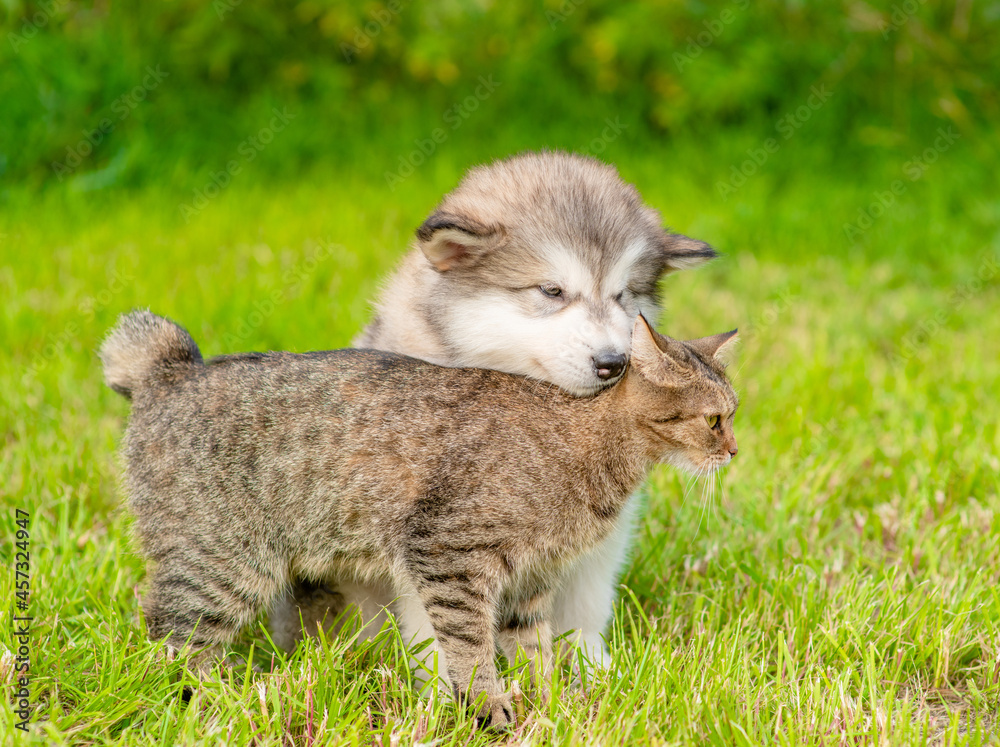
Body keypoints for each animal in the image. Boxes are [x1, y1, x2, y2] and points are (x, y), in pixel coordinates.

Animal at [101, 306, 740, 728]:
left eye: (733, 414)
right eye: (715, 420)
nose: (735, 450)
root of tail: (170, 370)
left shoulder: (530, 581)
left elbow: (534, 652)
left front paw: (551, 708)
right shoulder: (450, 553)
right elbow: (468, 645)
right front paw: (490, 710)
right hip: (222, 566)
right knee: (172, 638)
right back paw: (213, 706)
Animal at [270, 150, 716, 668]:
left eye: (623, 295)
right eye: (550, 291)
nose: (613, 362)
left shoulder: (599, 533)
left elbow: (583, 605)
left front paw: (593, 667)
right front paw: (444, 686)